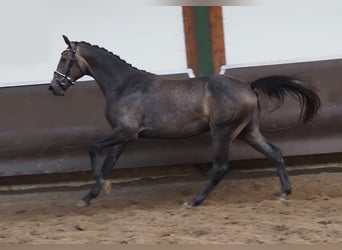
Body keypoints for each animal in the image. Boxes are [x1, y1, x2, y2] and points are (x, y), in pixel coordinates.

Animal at [48, 35, 320, 207]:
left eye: (64, 58)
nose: (53, 87)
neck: (124, 85)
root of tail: (248, 86)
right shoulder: (122, 136)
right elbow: (107, 164)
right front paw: (88, 197)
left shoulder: (126, 132)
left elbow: (93, 147)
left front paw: (102, 187)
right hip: (247, 131)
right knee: (275, 152)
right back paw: (284, 193)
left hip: (222, 131)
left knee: (220, 167)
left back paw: (194, 201)